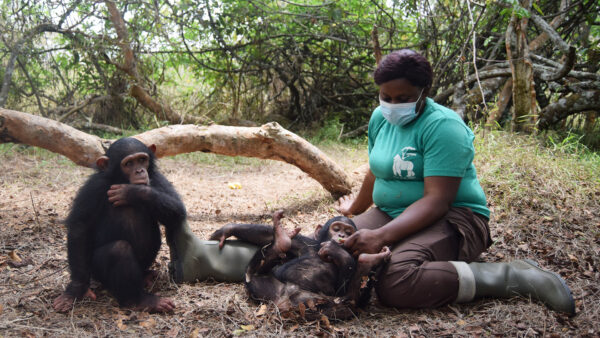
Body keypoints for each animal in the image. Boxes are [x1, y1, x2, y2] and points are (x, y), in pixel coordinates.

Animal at [53, 137, 185, 314]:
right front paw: (76, 290)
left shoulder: (157, 177)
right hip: (96, 272)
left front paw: (132, 192)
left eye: (142, 160)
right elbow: (80, 227)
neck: (121, 179)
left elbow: (177, 210)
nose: (139, 171)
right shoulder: (94, 187)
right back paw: (140, 300)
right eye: (128, 163)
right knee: (119, 250)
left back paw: (146, 277)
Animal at [209, 210, 392, 318]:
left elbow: (344, 289)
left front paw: (337, 251)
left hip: (311, 304)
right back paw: (281, 240)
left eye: (348, 232)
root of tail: (282, 303)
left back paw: (369, 261)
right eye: (336, 228)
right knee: (254, 276)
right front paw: (227, 229)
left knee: (347, 302)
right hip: (268, 290)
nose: (341, 235)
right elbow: (266, 235)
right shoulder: (304, 242)